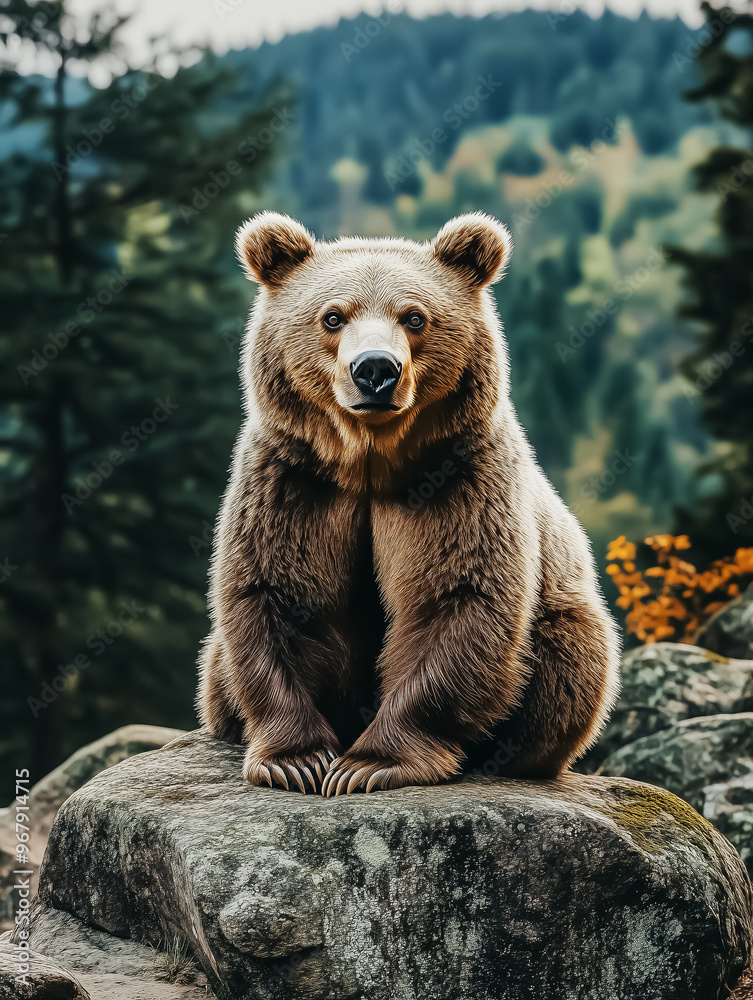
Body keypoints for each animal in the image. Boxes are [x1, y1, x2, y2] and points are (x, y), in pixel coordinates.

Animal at [197, 210, 621, 796]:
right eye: (333, 316)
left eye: (415, 317)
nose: (375, 368)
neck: (369, 462)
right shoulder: (295, 480)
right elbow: (279, 592)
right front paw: (296, 760)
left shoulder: (457, 479)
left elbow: (456, 597)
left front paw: (368, 764)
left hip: (566, 627)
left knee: (572, 649)